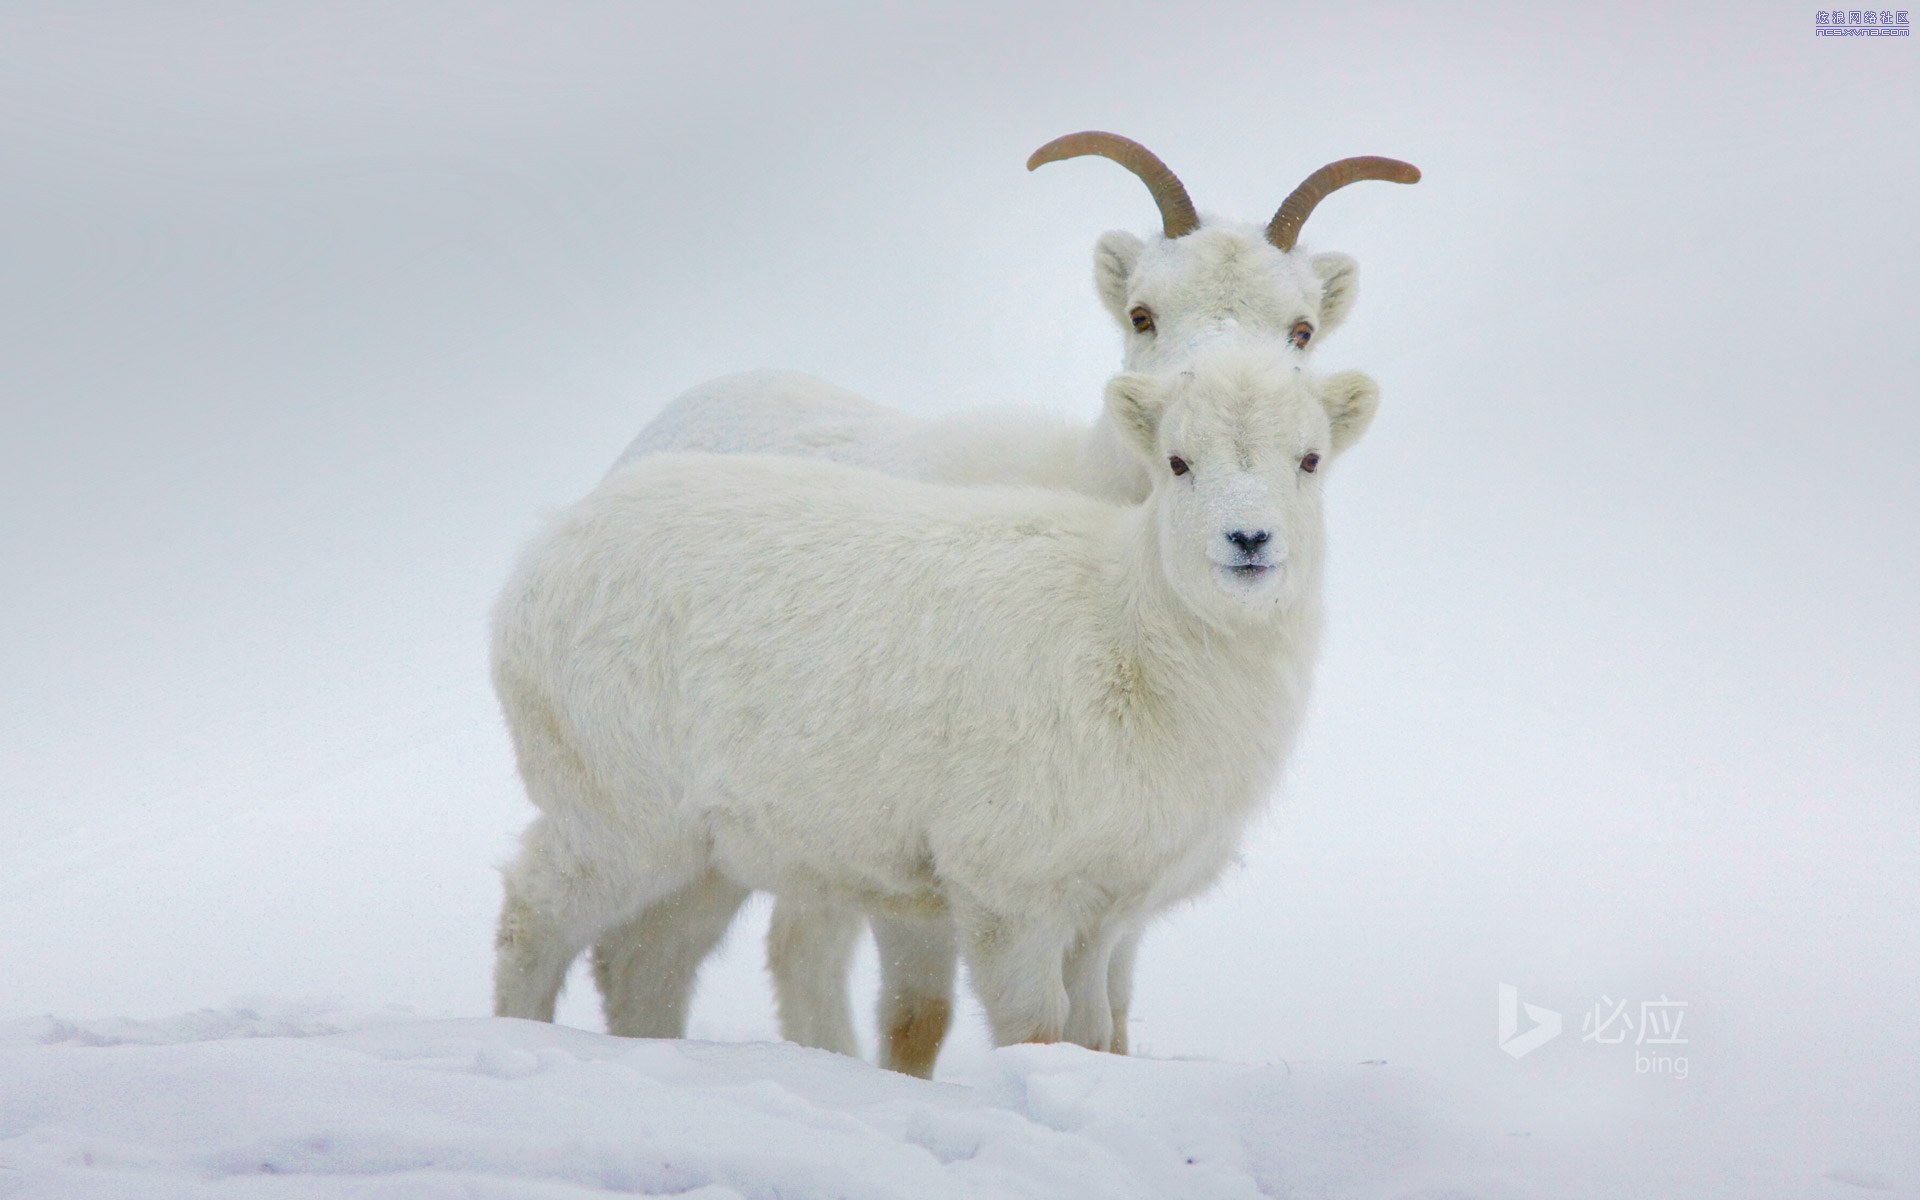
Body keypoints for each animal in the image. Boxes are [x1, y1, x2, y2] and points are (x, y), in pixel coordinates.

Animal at [491, 346, 1380, 1064]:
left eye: (1309, 459)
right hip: (616, 811)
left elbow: (1093, 1034)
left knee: (644, 963)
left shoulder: (1101, 912)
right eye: (1178, 462)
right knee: (534, 914)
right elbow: (1035, 1030)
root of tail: (542, 552)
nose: (1248, 541)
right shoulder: (1010, 891)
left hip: (705, 852)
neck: (1131, 636)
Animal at [590, 134, 1418, 1074]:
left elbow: (1110, 1025)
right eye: (1142, 314)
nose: (1211, 394)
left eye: (1302, 328)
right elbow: (919, 1017)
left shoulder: (1114, 886)